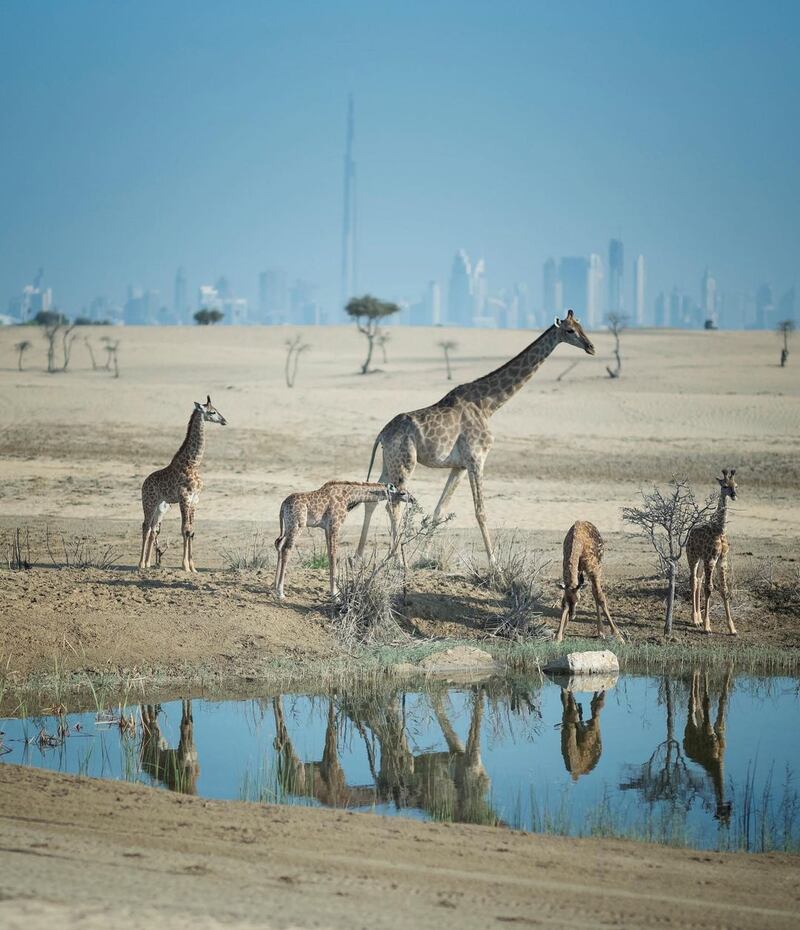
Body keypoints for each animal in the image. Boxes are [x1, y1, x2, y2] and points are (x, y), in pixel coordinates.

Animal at [138, 396, 225, 572]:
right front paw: (185, 566)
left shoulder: (195, 499)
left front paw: (193, 566)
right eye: (212, 412)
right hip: (149, 502)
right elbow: (185, 529)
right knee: (145, 526)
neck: (193, 463)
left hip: (161, 507)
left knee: (153, 529)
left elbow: (191, 530)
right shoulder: (184, 497)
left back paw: (149, 563)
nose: (224, 420)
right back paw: (141, 564)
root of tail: (144, 483)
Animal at [274, 478, 412, 600]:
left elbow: (330, 555)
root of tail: (282, 505)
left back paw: (274, 586)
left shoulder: (327, 528)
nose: (412, 499)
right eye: (402, 492)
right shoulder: (335, 525)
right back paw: (280, 592)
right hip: (297, 525)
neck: (348, 496)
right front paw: (335, 594)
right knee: (286, 549)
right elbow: (334, 554)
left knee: (279, 544)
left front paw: (334, 592)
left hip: (287, 526)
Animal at [356, 310, 592, 564]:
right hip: (405, 463)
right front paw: (494, 563)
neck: (488, 405)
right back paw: (398, 561)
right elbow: (481, 511)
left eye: (582, 326)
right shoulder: (476, 458)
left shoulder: (459, 465)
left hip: (389, 462)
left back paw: (359, 556)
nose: (591, 347)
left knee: (373, 497)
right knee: (393, 505)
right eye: (570, 330)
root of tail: (382, 433)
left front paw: (424, 556)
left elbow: (440, 510)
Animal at [684, 468, 740, 636]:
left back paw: (698, 618)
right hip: (693, 557)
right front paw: (707, 627)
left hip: (702, 560)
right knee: (693, 580)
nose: (734, 495)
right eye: (725, 486)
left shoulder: (722, 560)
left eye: (735, 485)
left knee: (698, 579)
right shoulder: (711, 559)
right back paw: (695, 619)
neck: (720, 530)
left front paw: (732, 628)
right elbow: (709, 589)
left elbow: (724, 589)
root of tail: (690, 532)